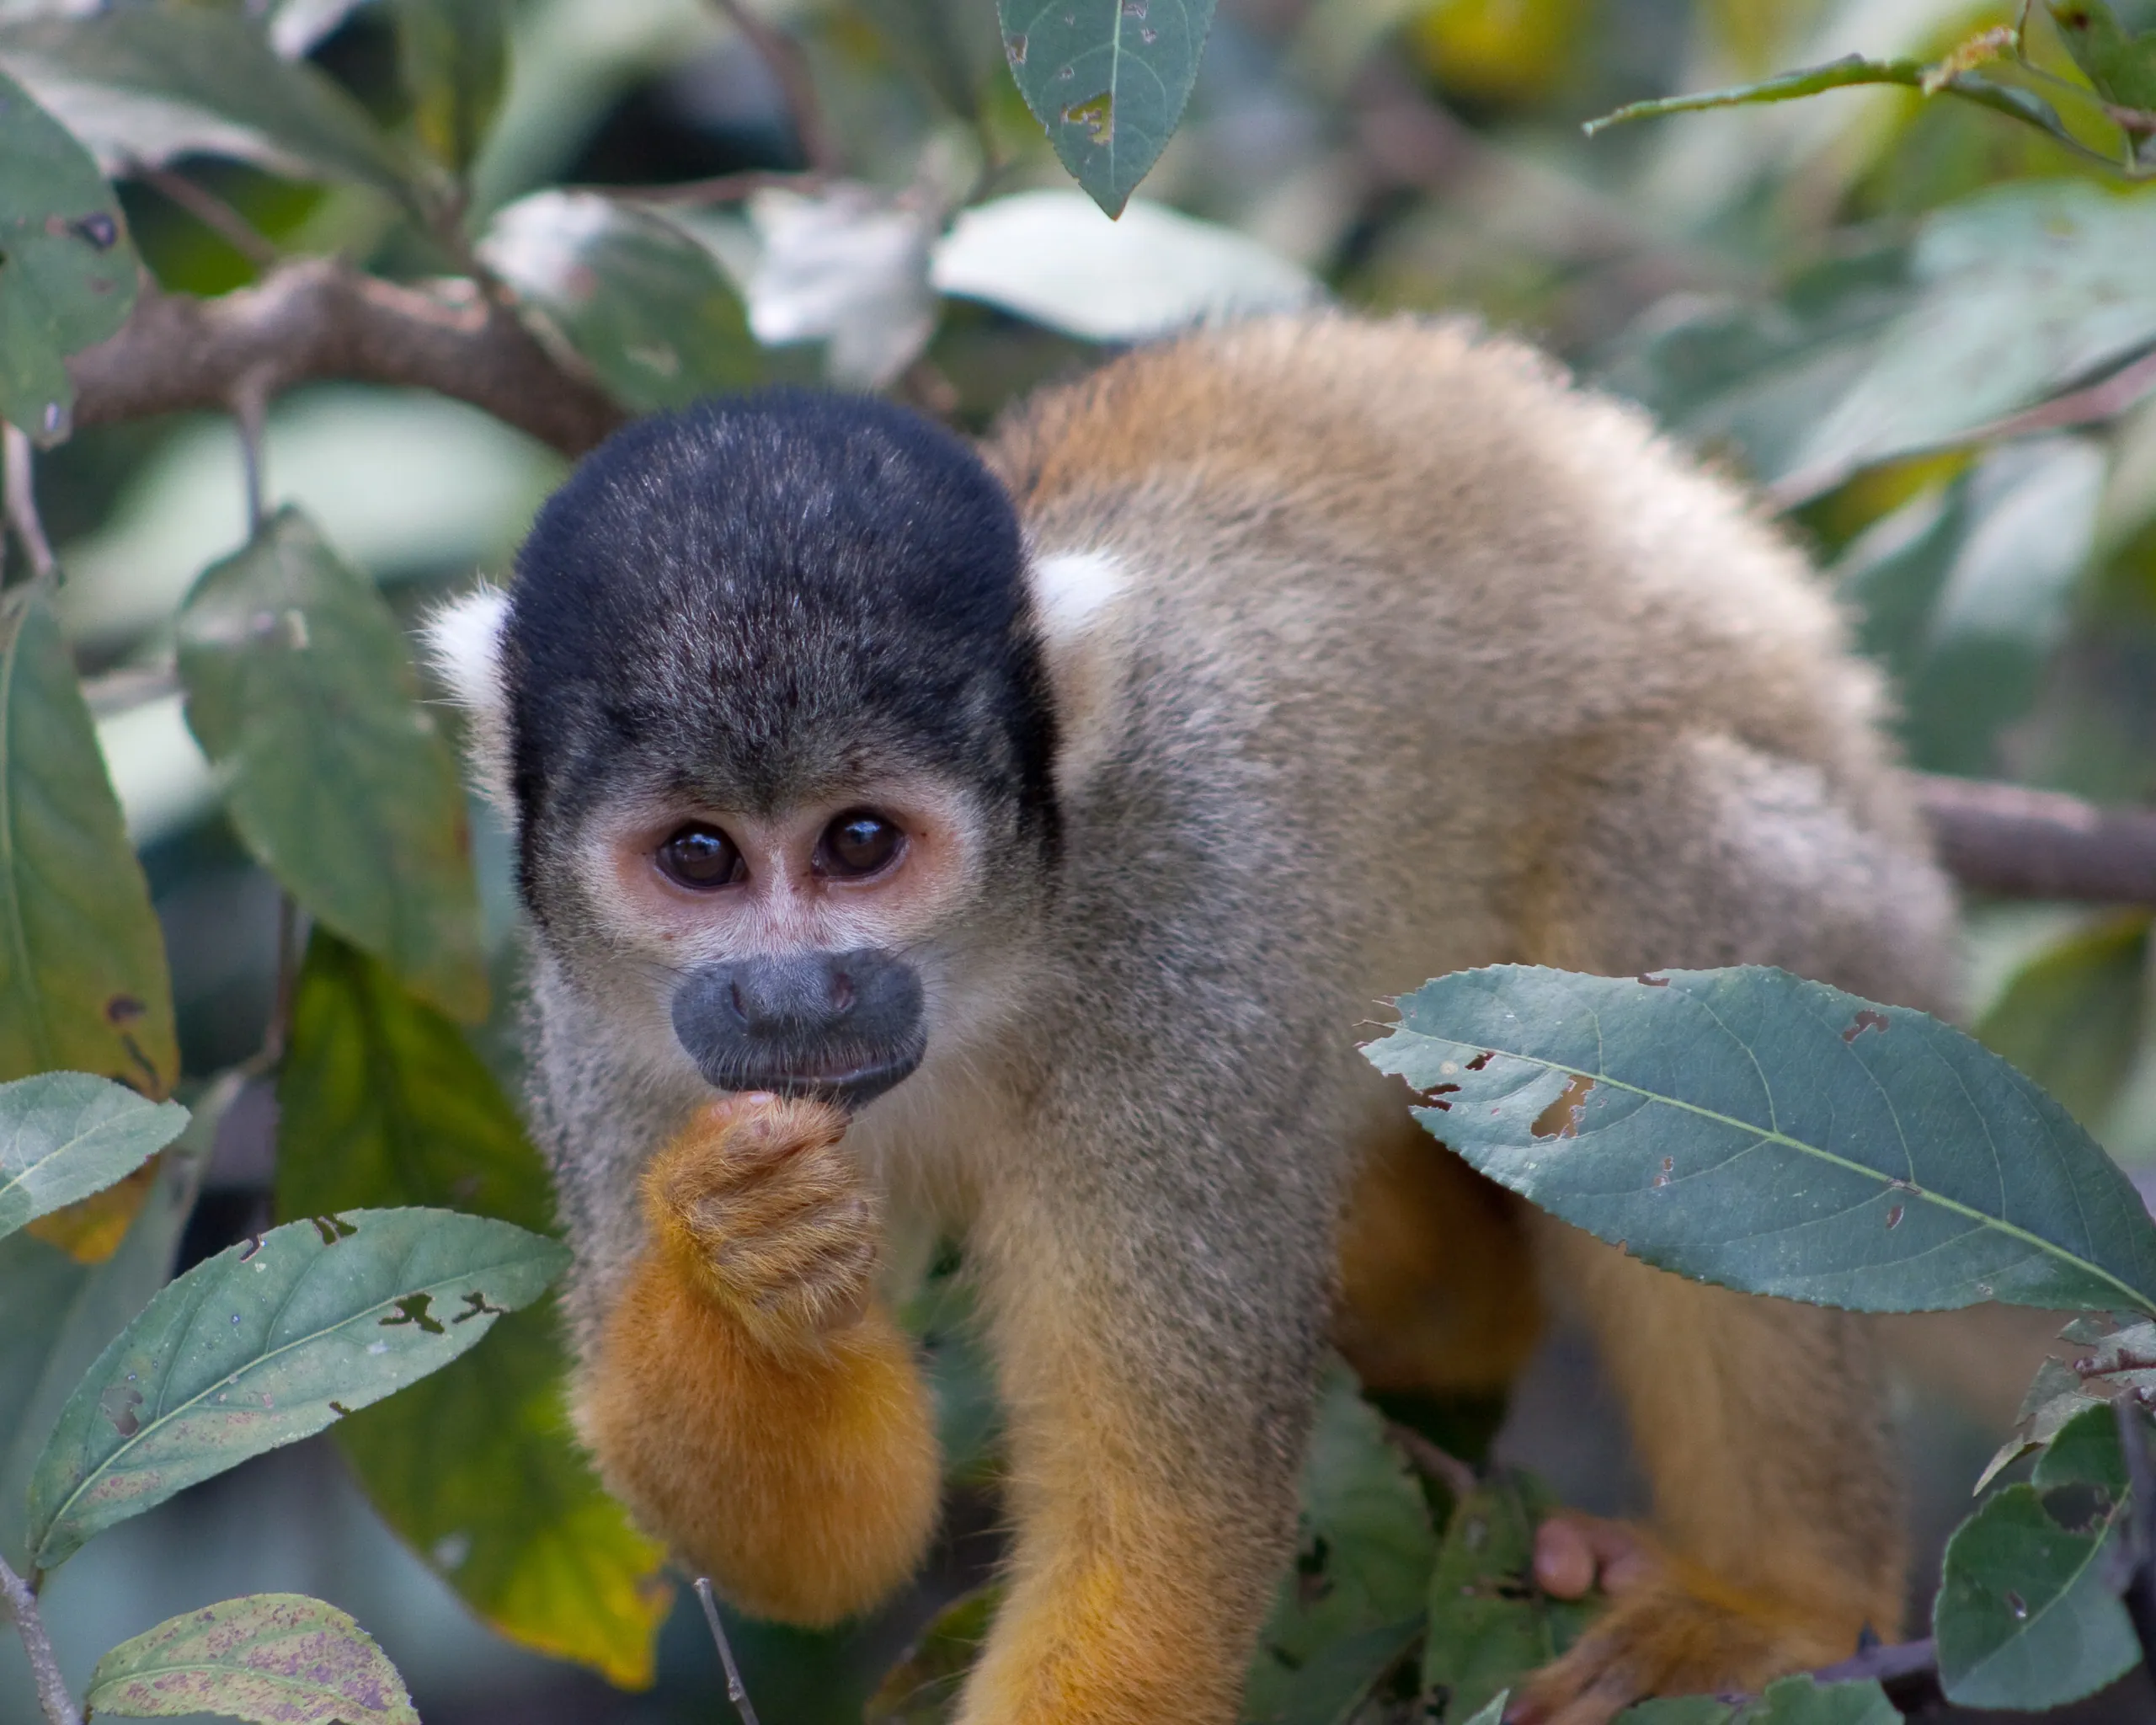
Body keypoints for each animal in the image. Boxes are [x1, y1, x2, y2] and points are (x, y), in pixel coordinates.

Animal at [425, 314, 1957, 1725]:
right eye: (699, 857)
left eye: (859, 842)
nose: (792, 993)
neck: (994, 975)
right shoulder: (602, 1035)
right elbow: (825, 1555)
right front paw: (740, 1255)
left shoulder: (1184, 947)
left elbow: (1157, 1520)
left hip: (1852, 953)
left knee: (1648, 843)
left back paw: (1781, 1596)